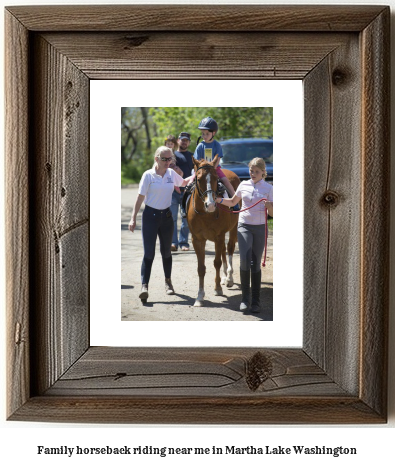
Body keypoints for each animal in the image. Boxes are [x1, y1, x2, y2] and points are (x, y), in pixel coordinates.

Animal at [187, 155, 240, 308]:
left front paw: (217, 289)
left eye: (216, 178)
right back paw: (225, 276)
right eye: (199, 179)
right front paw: (199, 296)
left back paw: (229, 277)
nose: (210, 204)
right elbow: (201, 268)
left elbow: (216, 262)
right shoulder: (197, 239)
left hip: (233, 228)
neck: (205, 214)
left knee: (229, 248)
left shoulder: (219, 236)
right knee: (223, 250)